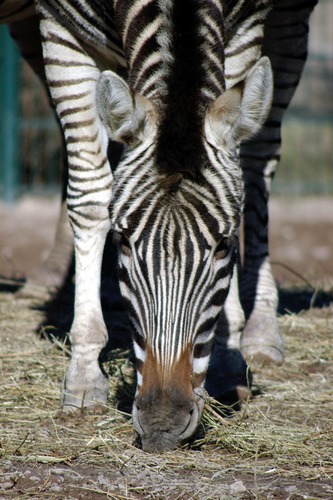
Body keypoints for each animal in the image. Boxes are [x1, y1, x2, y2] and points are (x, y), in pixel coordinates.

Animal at [0, 0, 316, 454]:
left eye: (224, 246)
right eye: (123, 243)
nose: (161, 426)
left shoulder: (247, 26)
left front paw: (228, 357)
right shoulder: (60, 28)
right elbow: (90, 195)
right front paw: (83, 377)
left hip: (292, 18)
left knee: (259, 160)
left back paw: (260, 332)